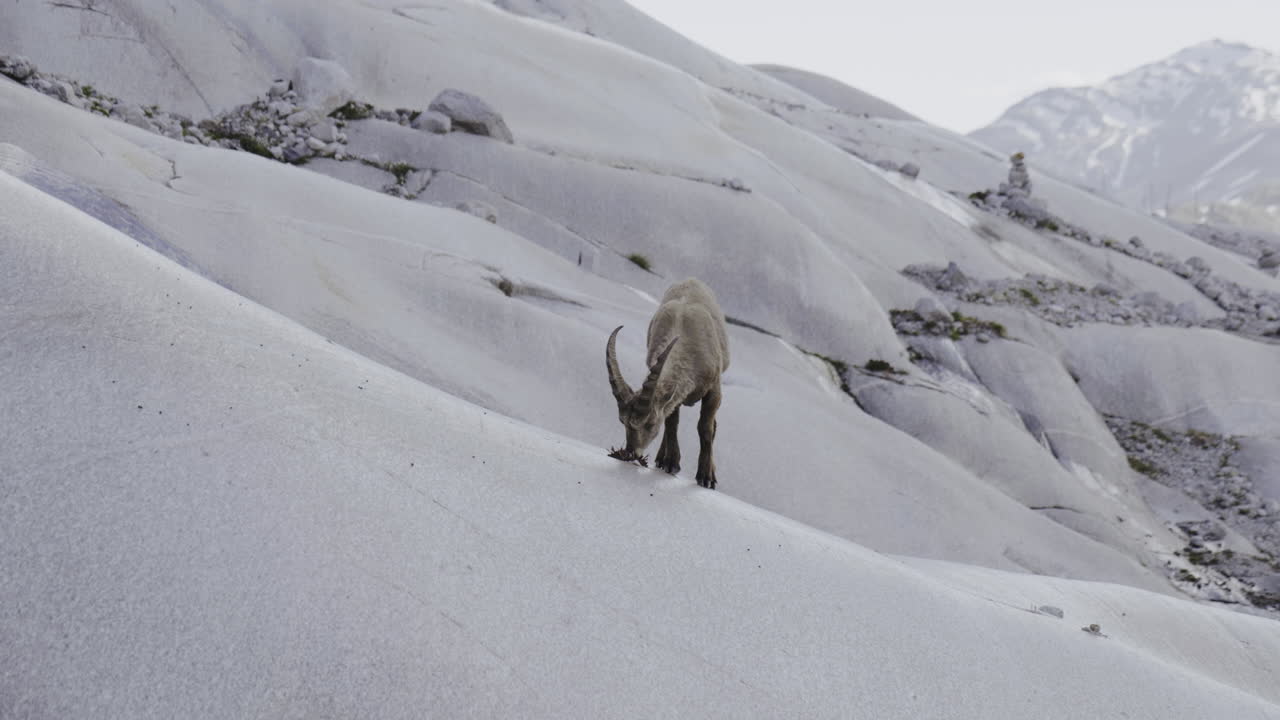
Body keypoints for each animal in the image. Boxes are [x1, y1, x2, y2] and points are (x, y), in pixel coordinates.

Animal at [606, 278, 730, 489]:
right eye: (623, 421)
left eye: (650, 424)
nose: (631, 453)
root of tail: (692, 279)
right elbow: (672, 422)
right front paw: (672, 462)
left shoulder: (714, 388)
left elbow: (705, 428)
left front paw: (705, 476)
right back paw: (662, 458)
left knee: (712, 425)